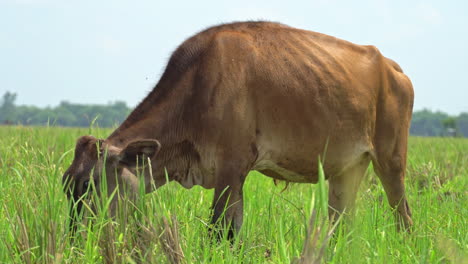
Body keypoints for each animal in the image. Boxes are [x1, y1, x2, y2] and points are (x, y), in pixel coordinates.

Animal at [61, 21, 414, 237]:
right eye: (67, 186)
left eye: (90, 184)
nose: (77, 240)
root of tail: (391, 66)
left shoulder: (232, 167)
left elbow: (219, 231)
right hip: (347, 169)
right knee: (342, 225)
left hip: (391, 161)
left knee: (404, 216)